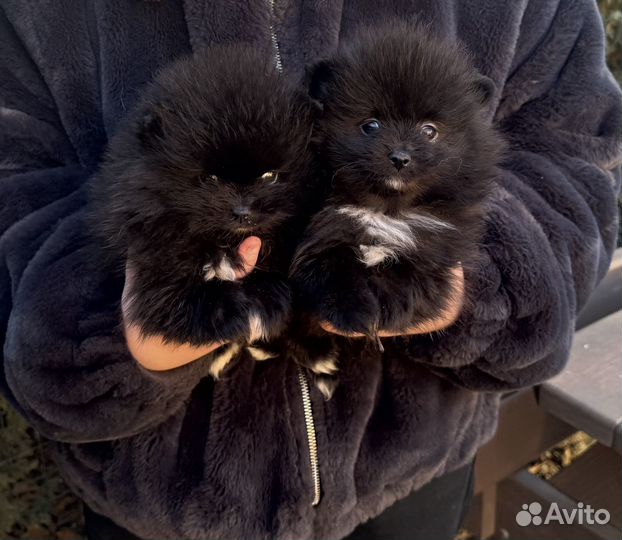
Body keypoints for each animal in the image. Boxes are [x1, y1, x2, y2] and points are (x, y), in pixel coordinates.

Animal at [90, 46, 320, 374]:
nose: (242, 211)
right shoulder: (155, 264)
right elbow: (183, 300)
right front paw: (252, 303)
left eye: (269, 176)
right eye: (209, 179)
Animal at [292, 23, 508, 396]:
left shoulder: (437, 239)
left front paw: (391, 306)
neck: (386, 209)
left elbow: (413, 272)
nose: (400, 157)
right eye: (370, 125)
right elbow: (329, 268)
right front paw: (356, 311)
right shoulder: (323, 232)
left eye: (429, 131)